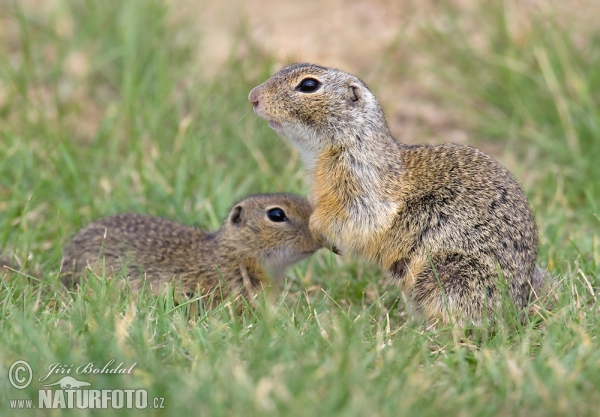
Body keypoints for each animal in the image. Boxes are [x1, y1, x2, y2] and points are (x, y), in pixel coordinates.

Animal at [248, 64, 540, 324]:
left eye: (308, 85)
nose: (253, 96)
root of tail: (518, 309)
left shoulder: (362, 184)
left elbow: (355, 218)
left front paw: (319, 232)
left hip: (452, 275)